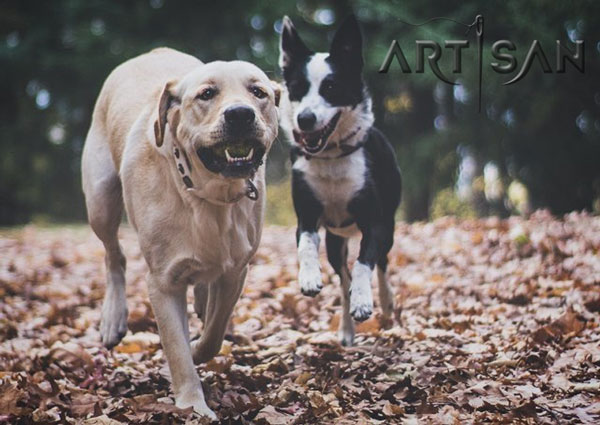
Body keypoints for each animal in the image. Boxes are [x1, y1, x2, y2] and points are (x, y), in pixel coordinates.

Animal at [278, 15, 400, 344]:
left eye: (331, 87)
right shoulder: (306, 215)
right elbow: (305, 245)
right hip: (335, 241)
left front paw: (364, 301)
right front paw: (309, 277)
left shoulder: (375, 222)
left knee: (381, 263)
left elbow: (364, 264)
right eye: (297, 88)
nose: (304, 119)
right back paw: (346, 329)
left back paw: (385, 303)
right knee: (343, 280)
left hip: (389, 226)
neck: (331, 158)